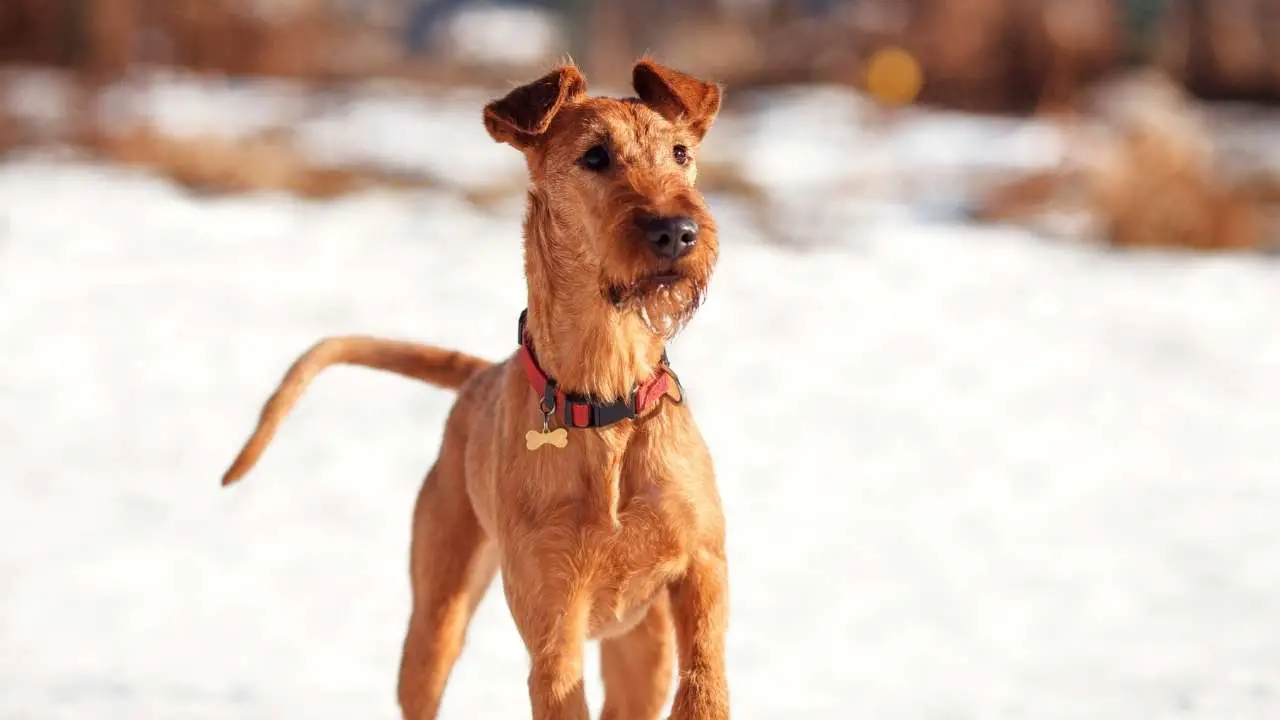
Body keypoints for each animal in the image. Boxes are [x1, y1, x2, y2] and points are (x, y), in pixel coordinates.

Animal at [222, 57, 732, 717]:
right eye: (595, 156)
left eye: (680, 152)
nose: (677, 231)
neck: (606, 404)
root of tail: (480, 374)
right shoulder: (553, 623)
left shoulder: (702, 562)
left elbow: (706, 677)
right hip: (437, 619)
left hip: (639, 647)